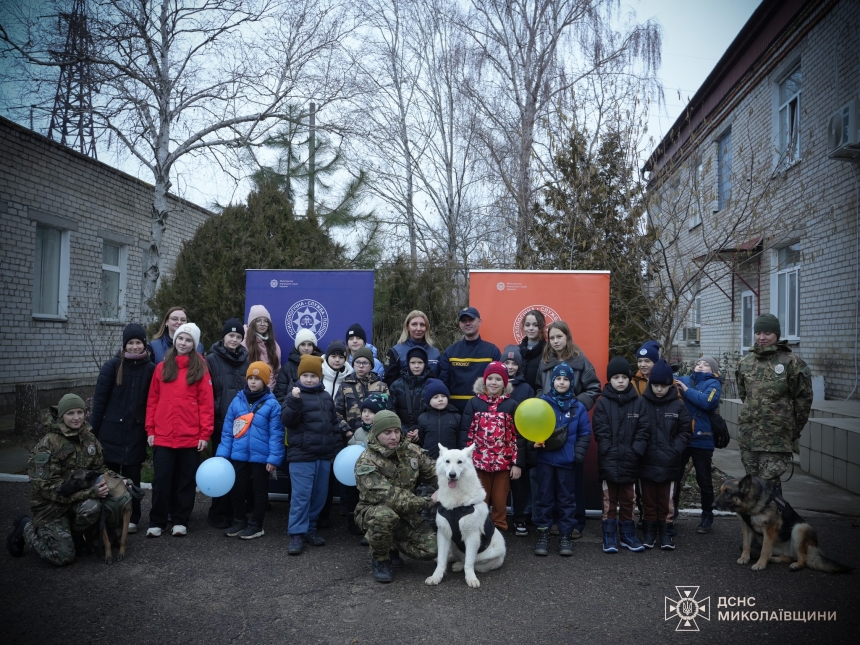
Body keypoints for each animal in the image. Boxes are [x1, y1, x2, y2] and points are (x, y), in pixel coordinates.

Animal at [424, 442, 504, 588]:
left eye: (459, 462)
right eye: (447, 461)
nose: (452, 474)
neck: (456, 507)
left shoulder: (472, 536)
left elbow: (469, 563)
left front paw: (471, 578)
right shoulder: (443, 534)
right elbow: (441, 561)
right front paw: (436, 577)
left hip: (492, 553)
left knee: (471, 561)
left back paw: (459, 565)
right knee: (455, 556)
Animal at [716, 472, 848, 572]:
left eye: (728, 493)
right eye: (721, 491)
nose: (713, 504)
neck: (752, 505)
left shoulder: (769, 529)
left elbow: (764, 550)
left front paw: (760, 564)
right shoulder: (746, 527)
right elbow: (746, 545)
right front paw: (745, 558)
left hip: (800, 528)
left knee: (803, 559)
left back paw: (796, 565)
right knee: (787, 557)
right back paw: (773, 559)